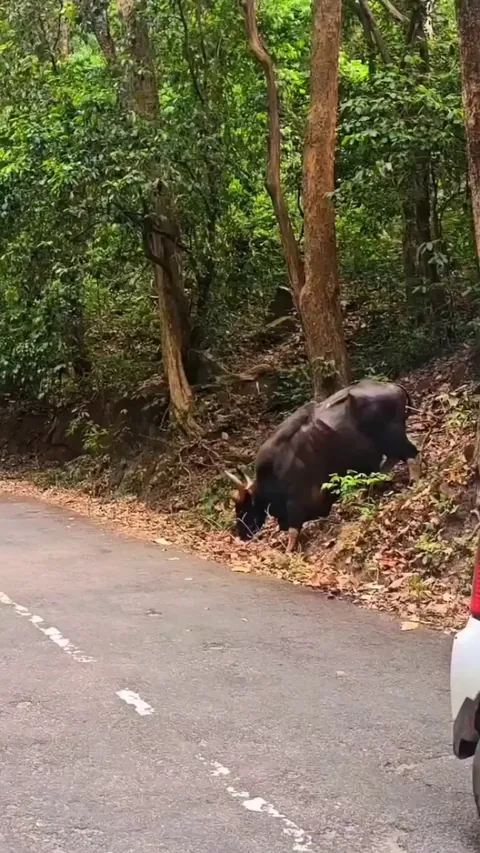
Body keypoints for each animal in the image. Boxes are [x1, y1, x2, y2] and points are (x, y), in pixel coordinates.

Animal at [225, 379, 420, 551]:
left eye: (242, 508)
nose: (240, 534)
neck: (275, 468)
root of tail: (394, 387)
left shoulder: (295, 502)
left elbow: (293, 531)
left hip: (392, 436)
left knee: (411, 454)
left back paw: (412, 482)